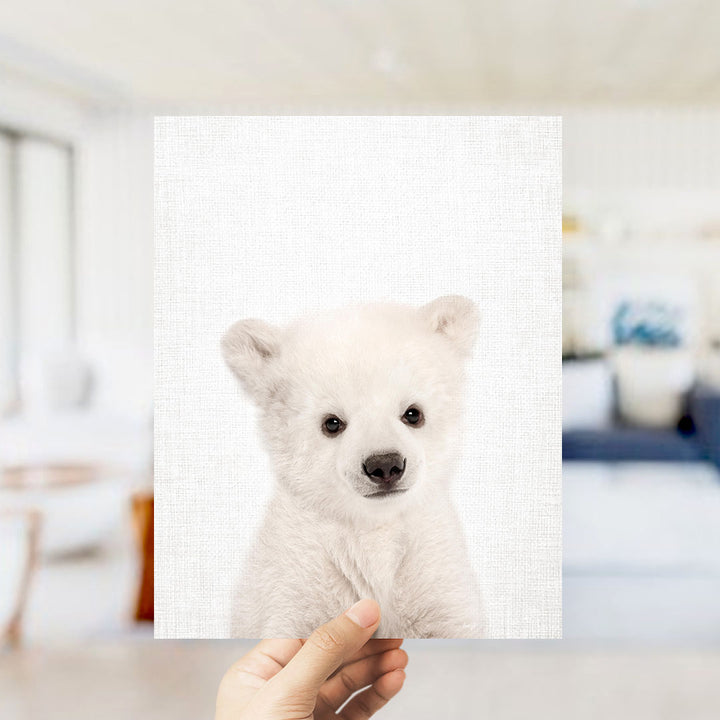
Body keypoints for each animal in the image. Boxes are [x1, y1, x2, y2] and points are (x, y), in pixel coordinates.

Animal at [221, 295, 483, 638]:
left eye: (413, 413)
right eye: (332, 423)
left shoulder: (431, 566)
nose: (384, 465)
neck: (373, 526)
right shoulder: (299, 572)